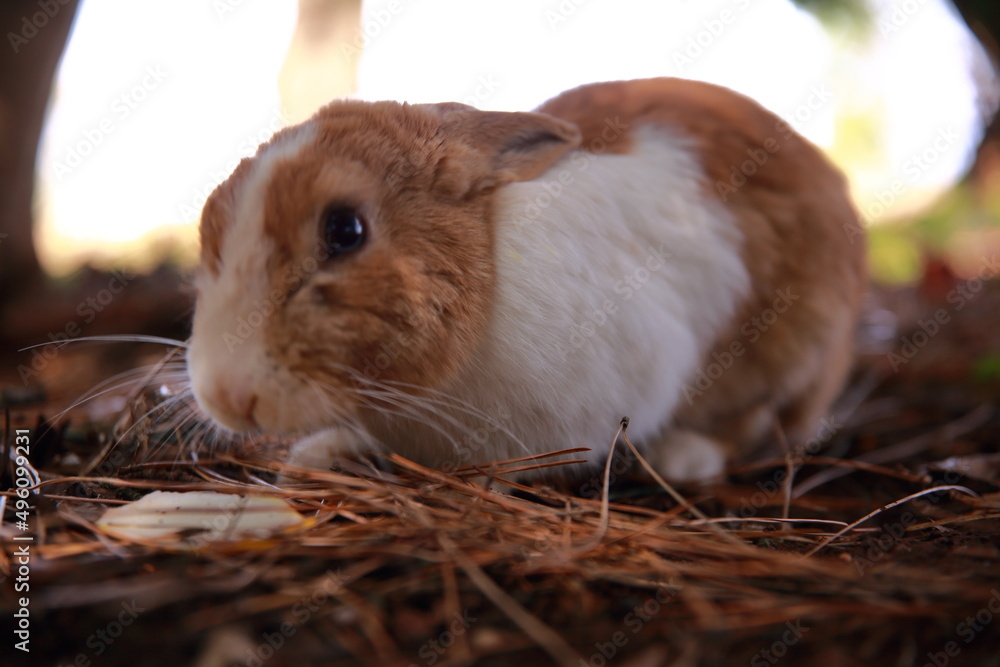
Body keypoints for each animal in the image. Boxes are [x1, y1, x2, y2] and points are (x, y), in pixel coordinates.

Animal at [186, 77, 866, 483]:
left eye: (344, 230)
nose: (226, 395)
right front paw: (320, 454)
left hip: (788, 356)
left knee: (754, 422)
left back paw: (684, 460)